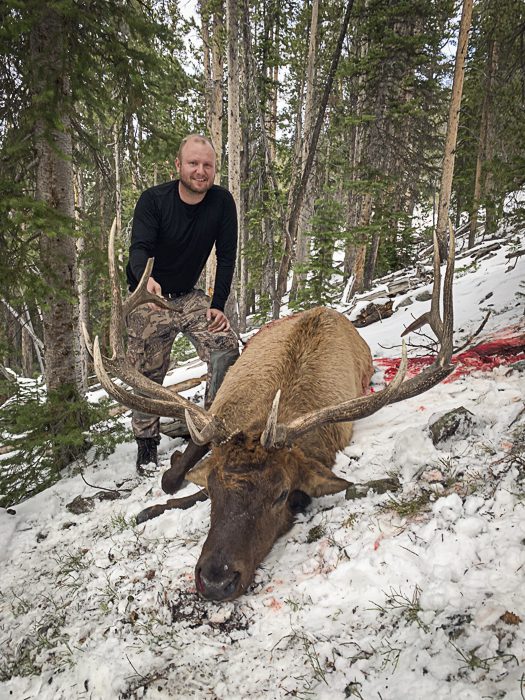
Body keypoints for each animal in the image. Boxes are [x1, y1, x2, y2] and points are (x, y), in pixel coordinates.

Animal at [84, 221, 455, 601]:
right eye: (214, 489)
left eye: (281, 494)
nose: (216, 580)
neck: (267, 413)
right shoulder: (216, 421)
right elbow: (176, 482)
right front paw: (154, 503)